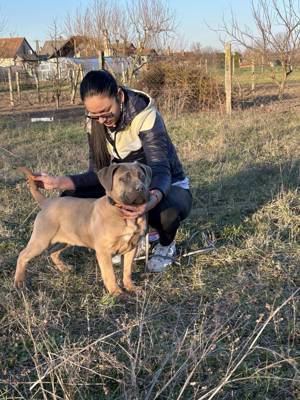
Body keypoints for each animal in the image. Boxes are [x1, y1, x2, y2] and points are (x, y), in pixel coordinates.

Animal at [14, 161, 151, 296]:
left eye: (142, 176)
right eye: (123, 179)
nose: (141, 188)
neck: (123, 213)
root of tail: (47, 202)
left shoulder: (131, 248)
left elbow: (127, 271)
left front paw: (131, 288)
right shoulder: (104, 251)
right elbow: (109, 274)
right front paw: (117, 293)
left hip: (66, 240)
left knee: (53, 252)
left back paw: (64, 269)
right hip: (41, 240)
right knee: (23, 255)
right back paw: (19, 282)